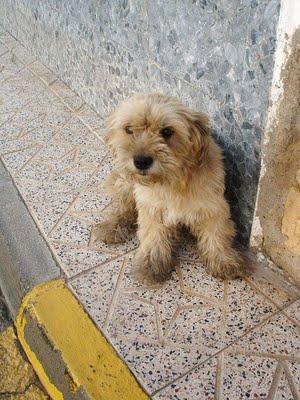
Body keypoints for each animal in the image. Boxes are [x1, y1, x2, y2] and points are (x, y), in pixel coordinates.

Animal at [94, 93, 248, 284]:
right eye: (128, 129)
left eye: (167, 131)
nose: (141, 161)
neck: (173, 181)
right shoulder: (151, 207)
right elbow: (153, 236)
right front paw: (151, 264)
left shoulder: (212, 206)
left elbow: (217, 233)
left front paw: (223, 259)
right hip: (128, 184)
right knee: (123, 206)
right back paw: (112, 225)